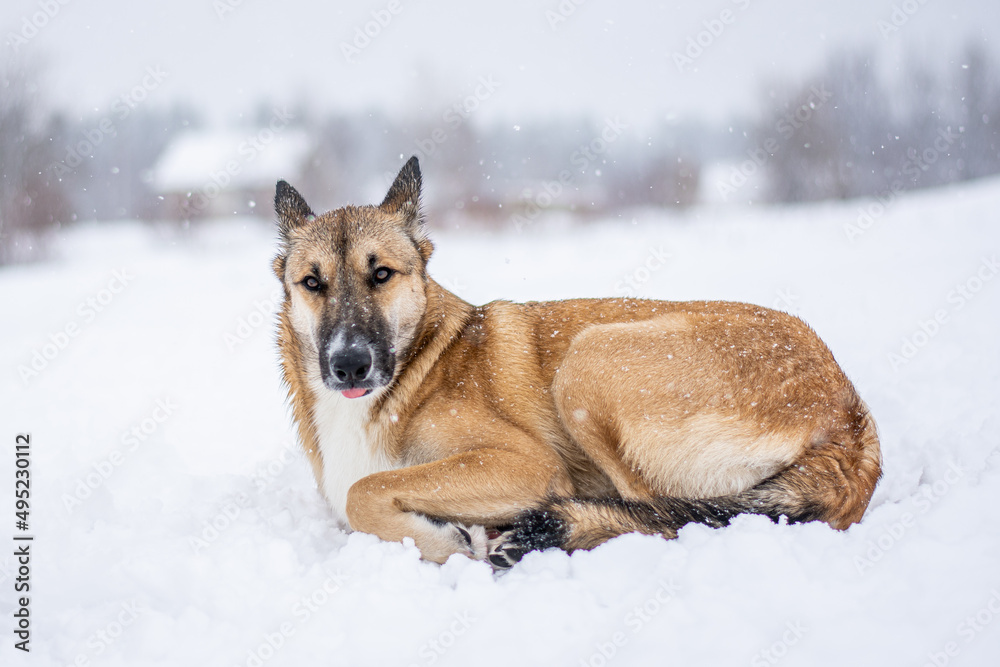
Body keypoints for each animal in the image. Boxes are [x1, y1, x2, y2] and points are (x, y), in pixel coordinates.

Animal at [270, 157, 880, 568]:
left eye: (381, 275)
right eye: (312, 283)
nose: (349, 365)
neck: (415, 362)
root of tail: (852, 422)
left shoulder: (527, 464)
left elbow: (364, 491)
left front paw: (445, 542)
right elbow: (362, 496)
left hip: (587, 363)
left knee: (658, 518)